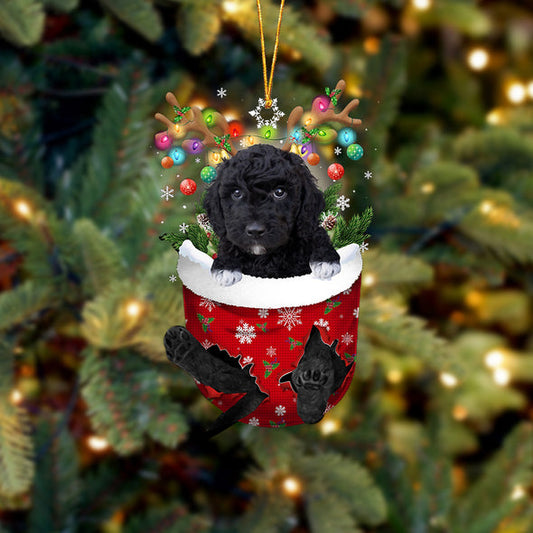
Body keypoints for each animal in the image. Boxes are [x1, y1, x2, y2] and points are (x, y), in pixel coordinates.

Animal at [202, 143, 338, 284]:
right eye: (237, 193)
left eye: (279, 192)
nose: (255, 231)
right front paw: (226, 267)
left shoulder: (307, 226)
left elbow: (318, 236)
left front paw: (325, 262)